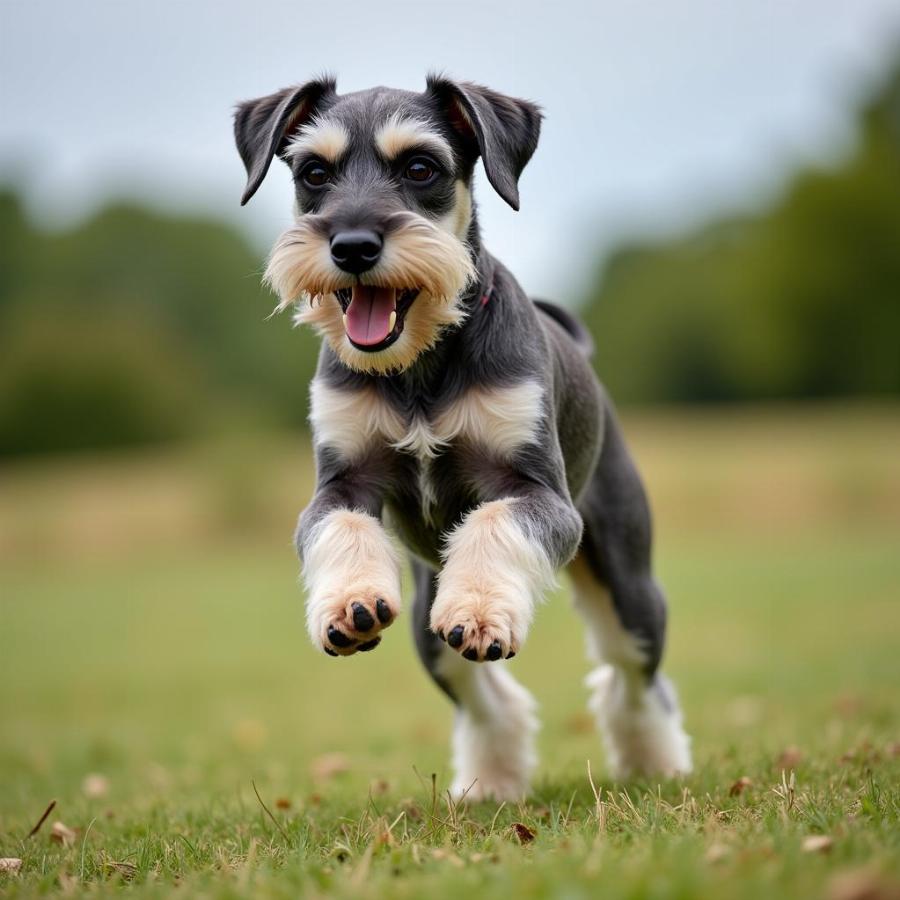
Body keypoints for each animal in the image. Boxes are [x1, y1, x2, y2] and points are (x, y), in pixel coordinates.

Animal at [232, 74, 688, 800]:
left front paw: (477, 610)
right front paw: (350, 603)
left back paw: (653, 762)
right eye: (313, 172)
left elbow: (494, 522)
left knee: (631, 676)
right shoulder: (340, 485)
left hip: (631, 586)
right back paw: (492, 782)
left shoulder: (537, 492)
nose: (352, 247)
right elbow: (343, 528)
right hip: (424, 618)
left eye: (421, 167)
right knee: (485, 697)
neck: (420, 364)